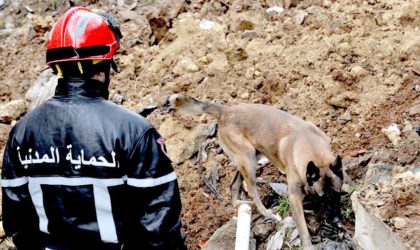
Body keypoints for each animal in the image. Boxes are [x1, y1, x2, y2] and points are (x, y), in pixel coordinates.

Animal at [163, 94, 342, 250]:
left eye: (338, 194)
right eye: (323, 198)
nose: (337, 220)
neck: (312, 148)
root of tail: (225, 111)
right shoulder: (294, 197)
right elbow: (303, 229)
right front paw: (308, 244)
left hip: (248, 158)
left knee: (234, 184)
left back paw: (237, 206)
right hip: (249, 160)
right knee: (252, 190)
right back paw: (265, 212)